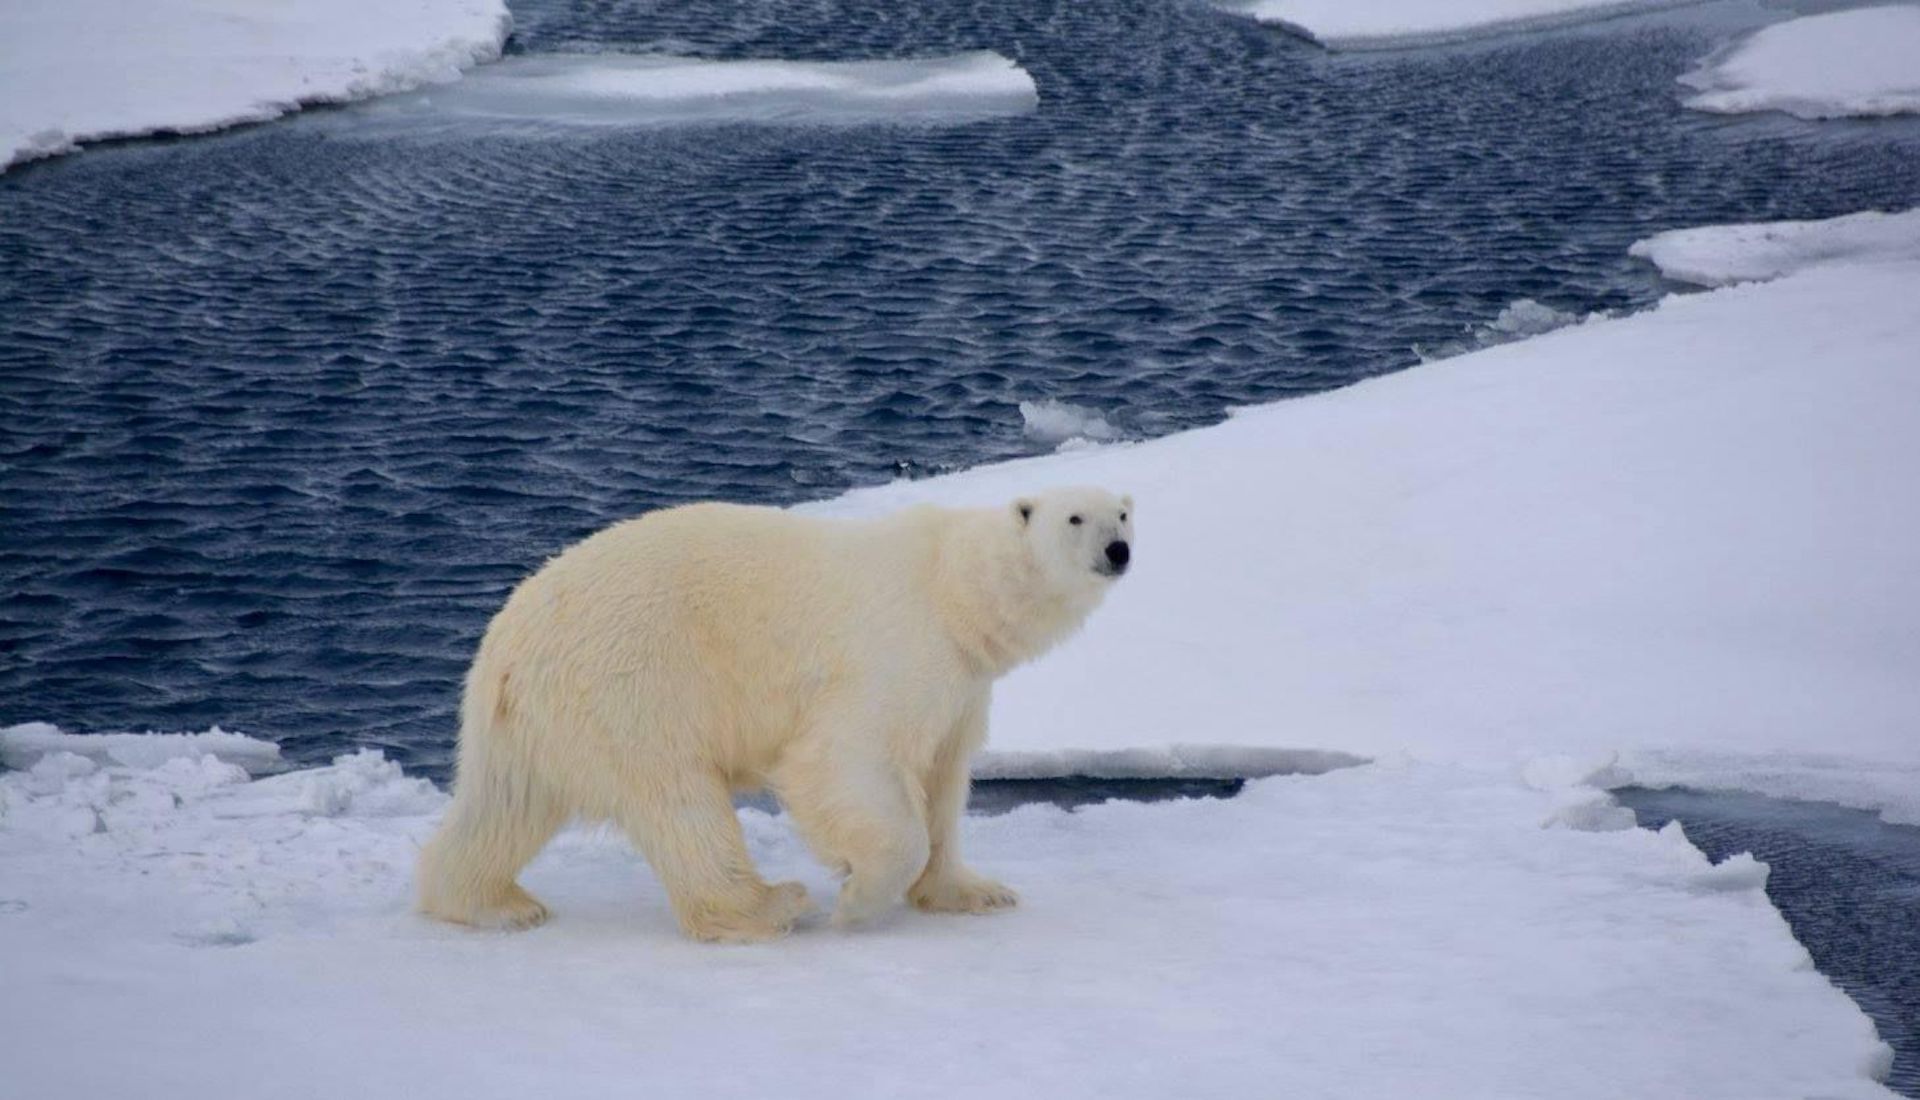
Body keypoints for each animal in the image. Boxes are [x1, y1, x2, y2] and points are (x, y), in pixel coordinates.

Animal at [416, 486, 1133, 942]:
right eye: (1075, 517)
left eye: (1124, 513)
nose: (1117, 551)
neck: (951, 588)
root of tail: (507, 644)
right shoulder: (895, 649)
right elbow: (844, 760)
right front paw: (857, 899)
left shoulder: (962, 687)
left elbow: (944, 781)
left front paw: (975, 892)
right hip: (631, 685)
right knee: (681, 803)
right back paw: (768, 905)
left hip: (529, 720)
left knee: (503, 805)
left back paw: (492, 904)